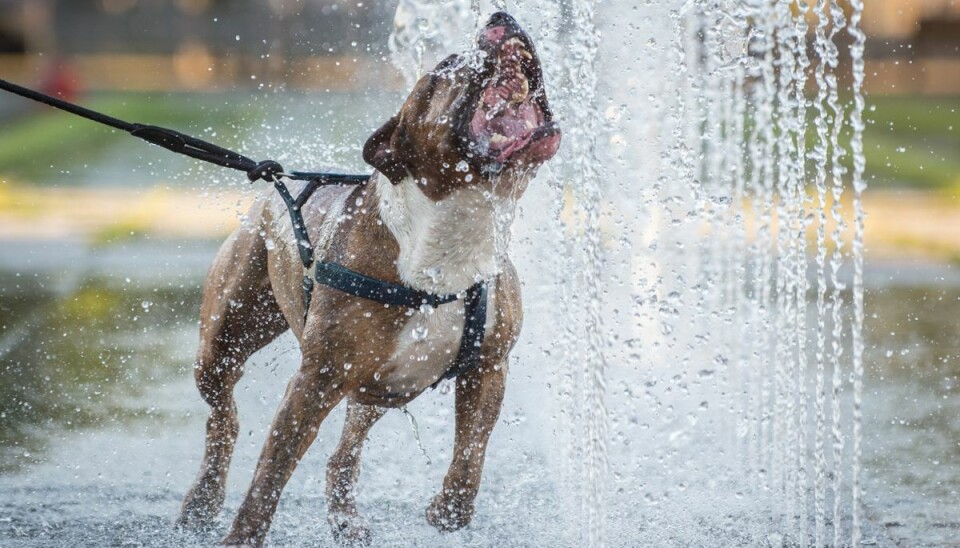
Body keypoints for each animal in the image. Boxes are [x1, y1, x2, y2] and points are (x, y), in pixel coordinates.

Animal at [176, 12, 560, 548]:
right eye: (447, 66)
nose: (499, 17)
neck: (451, 235)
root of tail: (277, 182)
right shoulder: (316, 379)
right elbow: (271, 472)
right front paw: (243, 536)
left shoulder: (488, 366)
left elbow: (471, 453)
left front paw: (448, 510)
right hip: (225, 337)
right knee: (223, 418)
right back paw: (203, 500)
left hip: (380, 386)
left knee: (344, 453)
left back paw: (346, 520)